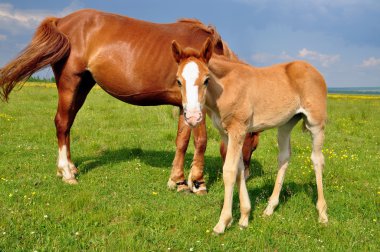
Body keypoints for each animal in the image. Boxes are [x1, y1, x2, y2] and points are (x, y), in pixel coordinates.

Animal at [174, 39, 328, 234]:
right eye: (178, 81)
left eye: (206, 79)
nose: (193, 117)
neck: (226, 88)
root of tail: (314, 70)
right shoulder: (226, 134)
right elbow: (239, 168)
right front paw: (244, 217)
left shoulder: (238, 130)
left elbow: (229, 171)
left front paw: (223, 222)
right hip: (286, 124)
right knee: (284, 157)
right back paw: (270, 208)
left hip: (316, 124)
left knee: (317, 159)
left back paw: (322, 214)